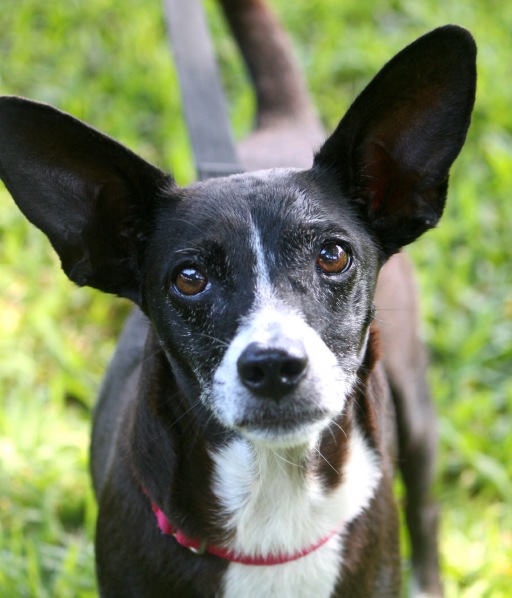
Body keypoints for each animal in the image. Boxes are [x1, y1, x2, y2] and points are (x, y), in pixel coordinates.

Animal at [0, 1, 476, 596]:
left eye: (333, 255)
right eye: (188, 278)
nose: (273, 366)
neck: (277, 503)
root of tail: (280, 120)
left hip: (415, 405)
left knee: (426, 507)